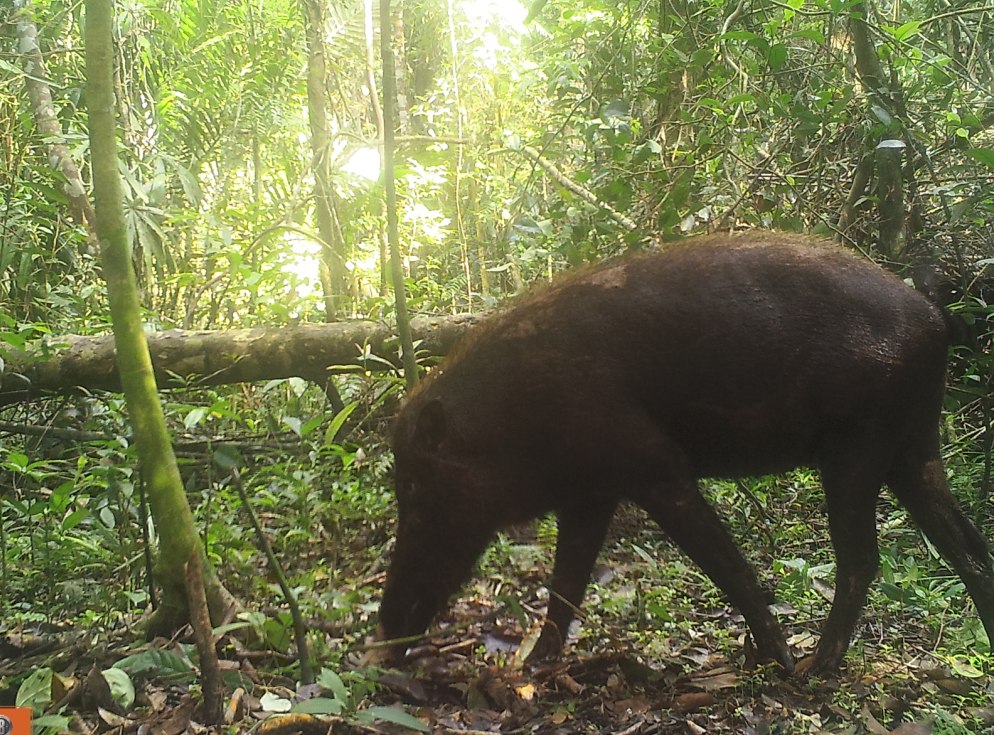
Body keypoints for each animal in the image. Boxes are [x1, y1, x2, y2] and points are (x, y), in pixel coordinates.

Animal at [374, 233, 992, 676]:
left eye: (415, 491)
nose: (384, 633)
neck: (509, 422)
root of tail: (936, 320)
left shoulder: (656, 467)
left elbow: (727, 565)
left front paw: (774, 659)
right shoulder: (591, 493)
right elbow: (566, 580)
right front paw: (532, 669)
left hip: (857, 447)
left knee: (863, 557)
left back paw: (816, 668)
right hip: (913, 447)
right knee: (968, 547)